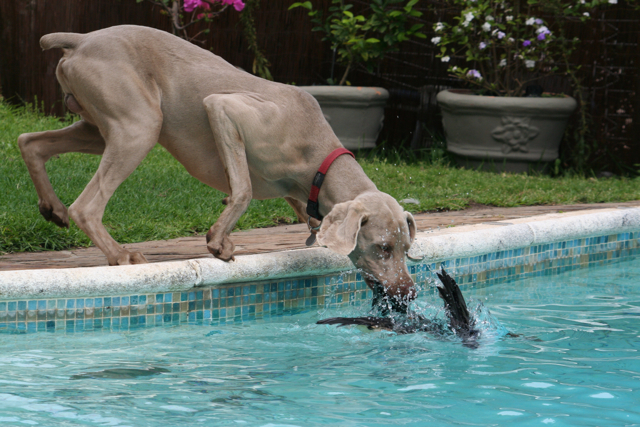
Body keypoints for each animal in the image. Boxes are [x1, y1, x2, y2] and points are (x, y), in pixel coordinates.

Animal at [18, 25, 419, 310]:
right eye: (383, 247)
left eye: (405, 249)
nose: (410, 293)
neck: (318, 156)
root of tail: (83, 39)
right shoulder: (223, 110)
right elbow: (242, 190)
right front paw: (218, 241)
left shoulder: (302, 195)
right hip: (140, 126)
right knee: (86, 206)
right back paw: (119, 254)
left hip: (101, 128)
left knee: (29, 142)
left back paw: (51, 207)